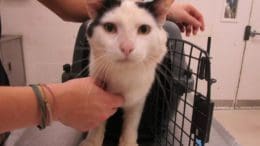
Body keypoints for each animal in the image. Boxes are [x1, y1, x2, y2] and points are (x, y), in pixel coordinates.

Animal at [80, 0, 175, 145]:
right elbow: (98, 122)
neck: (124, 77)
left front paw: (128, 142)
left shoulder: (138, 100)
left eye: (144, 29)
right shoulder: (99, 94)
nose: (127, 47)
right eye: (109, 27)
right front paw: (91, 141)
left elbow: (132, 124)